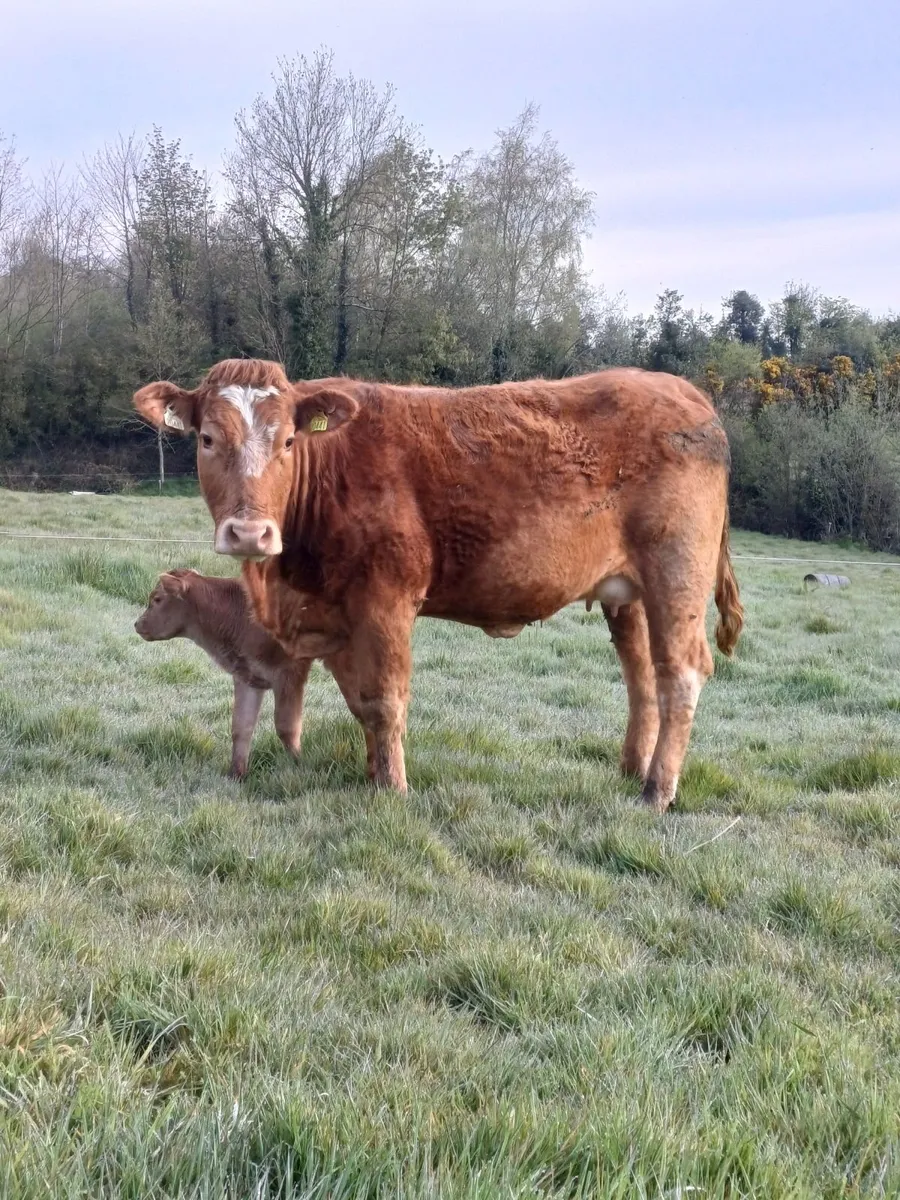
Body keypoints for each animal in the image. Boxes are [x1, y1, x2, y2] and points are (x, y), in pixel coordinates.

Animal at [134, 568, 334, 779]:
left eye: (157, 599)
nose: (137, 624)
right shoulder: (248, 676)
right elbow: (241, 726)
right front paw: (236, 775)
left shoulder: (289, 672)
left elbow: (286, 727)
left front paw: (300, 767)